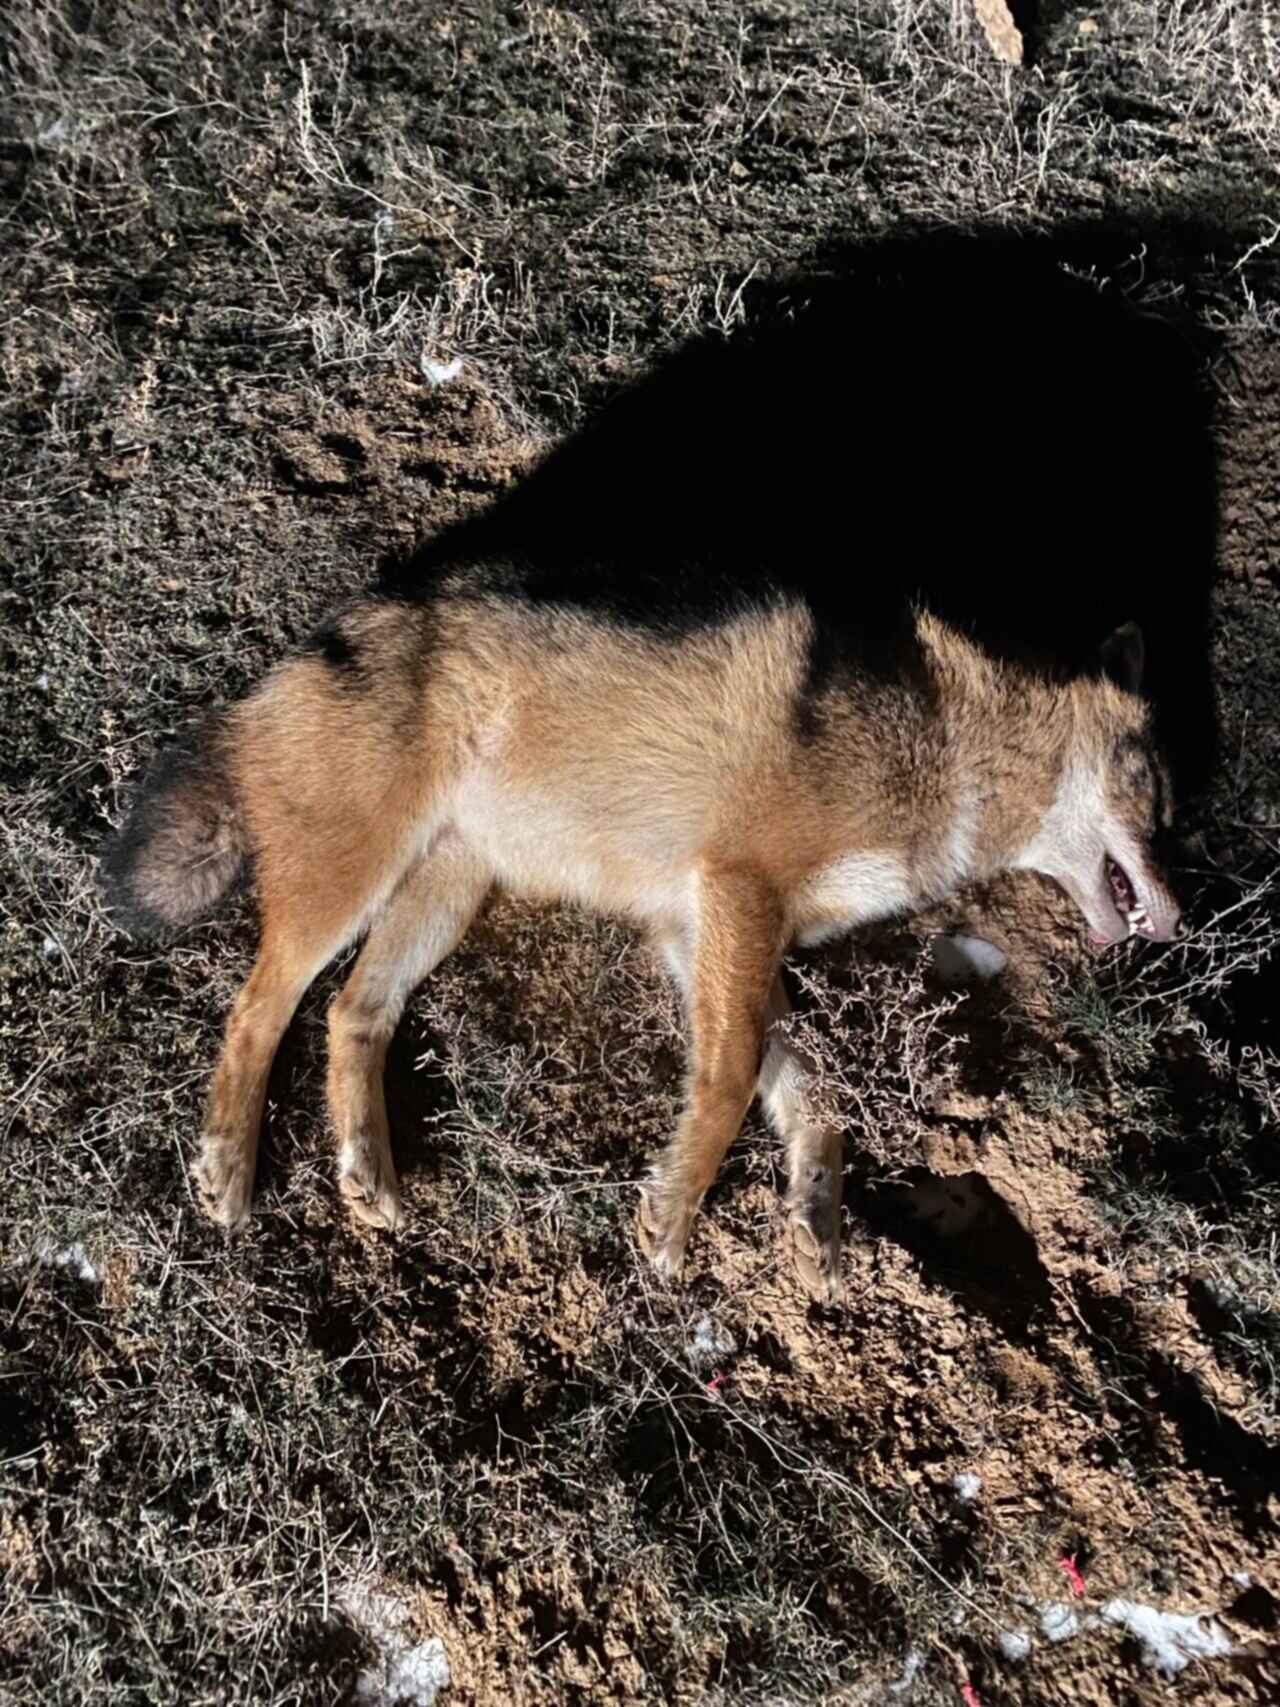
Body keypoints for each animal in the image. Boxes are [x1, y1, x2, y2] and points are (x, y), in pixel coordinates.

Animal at [102, 553, 1194, 1297]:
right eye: (1160, 804)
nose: (1178, 921)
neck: (943, 751)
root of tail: (278, 675)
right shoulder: (736, 895)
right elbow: (726, 1087)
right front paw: (670, 1220)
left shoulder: (697, 928)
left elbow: (807, 1099)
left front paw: (813, 1209)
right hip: (351, 889)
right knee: (258, 1010)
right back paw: (227, 1171)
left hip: (440, 900)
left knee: (349, 1016)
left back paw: (366, 1173)